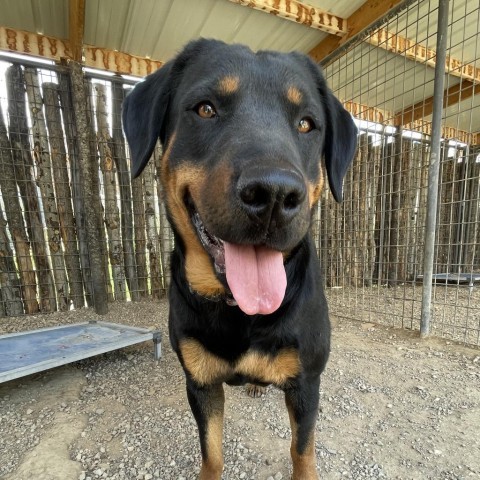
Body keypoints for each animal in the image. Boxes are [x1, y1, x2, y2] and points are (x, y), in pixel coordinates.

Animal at [123, 38, 356, 480]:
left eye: (306, 124)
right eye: (205, 109)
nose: (274, 193)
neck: (239, 310)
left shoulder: (306, 382)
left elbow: (302, 450)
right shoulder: (199, 382)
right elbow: (211, 451)